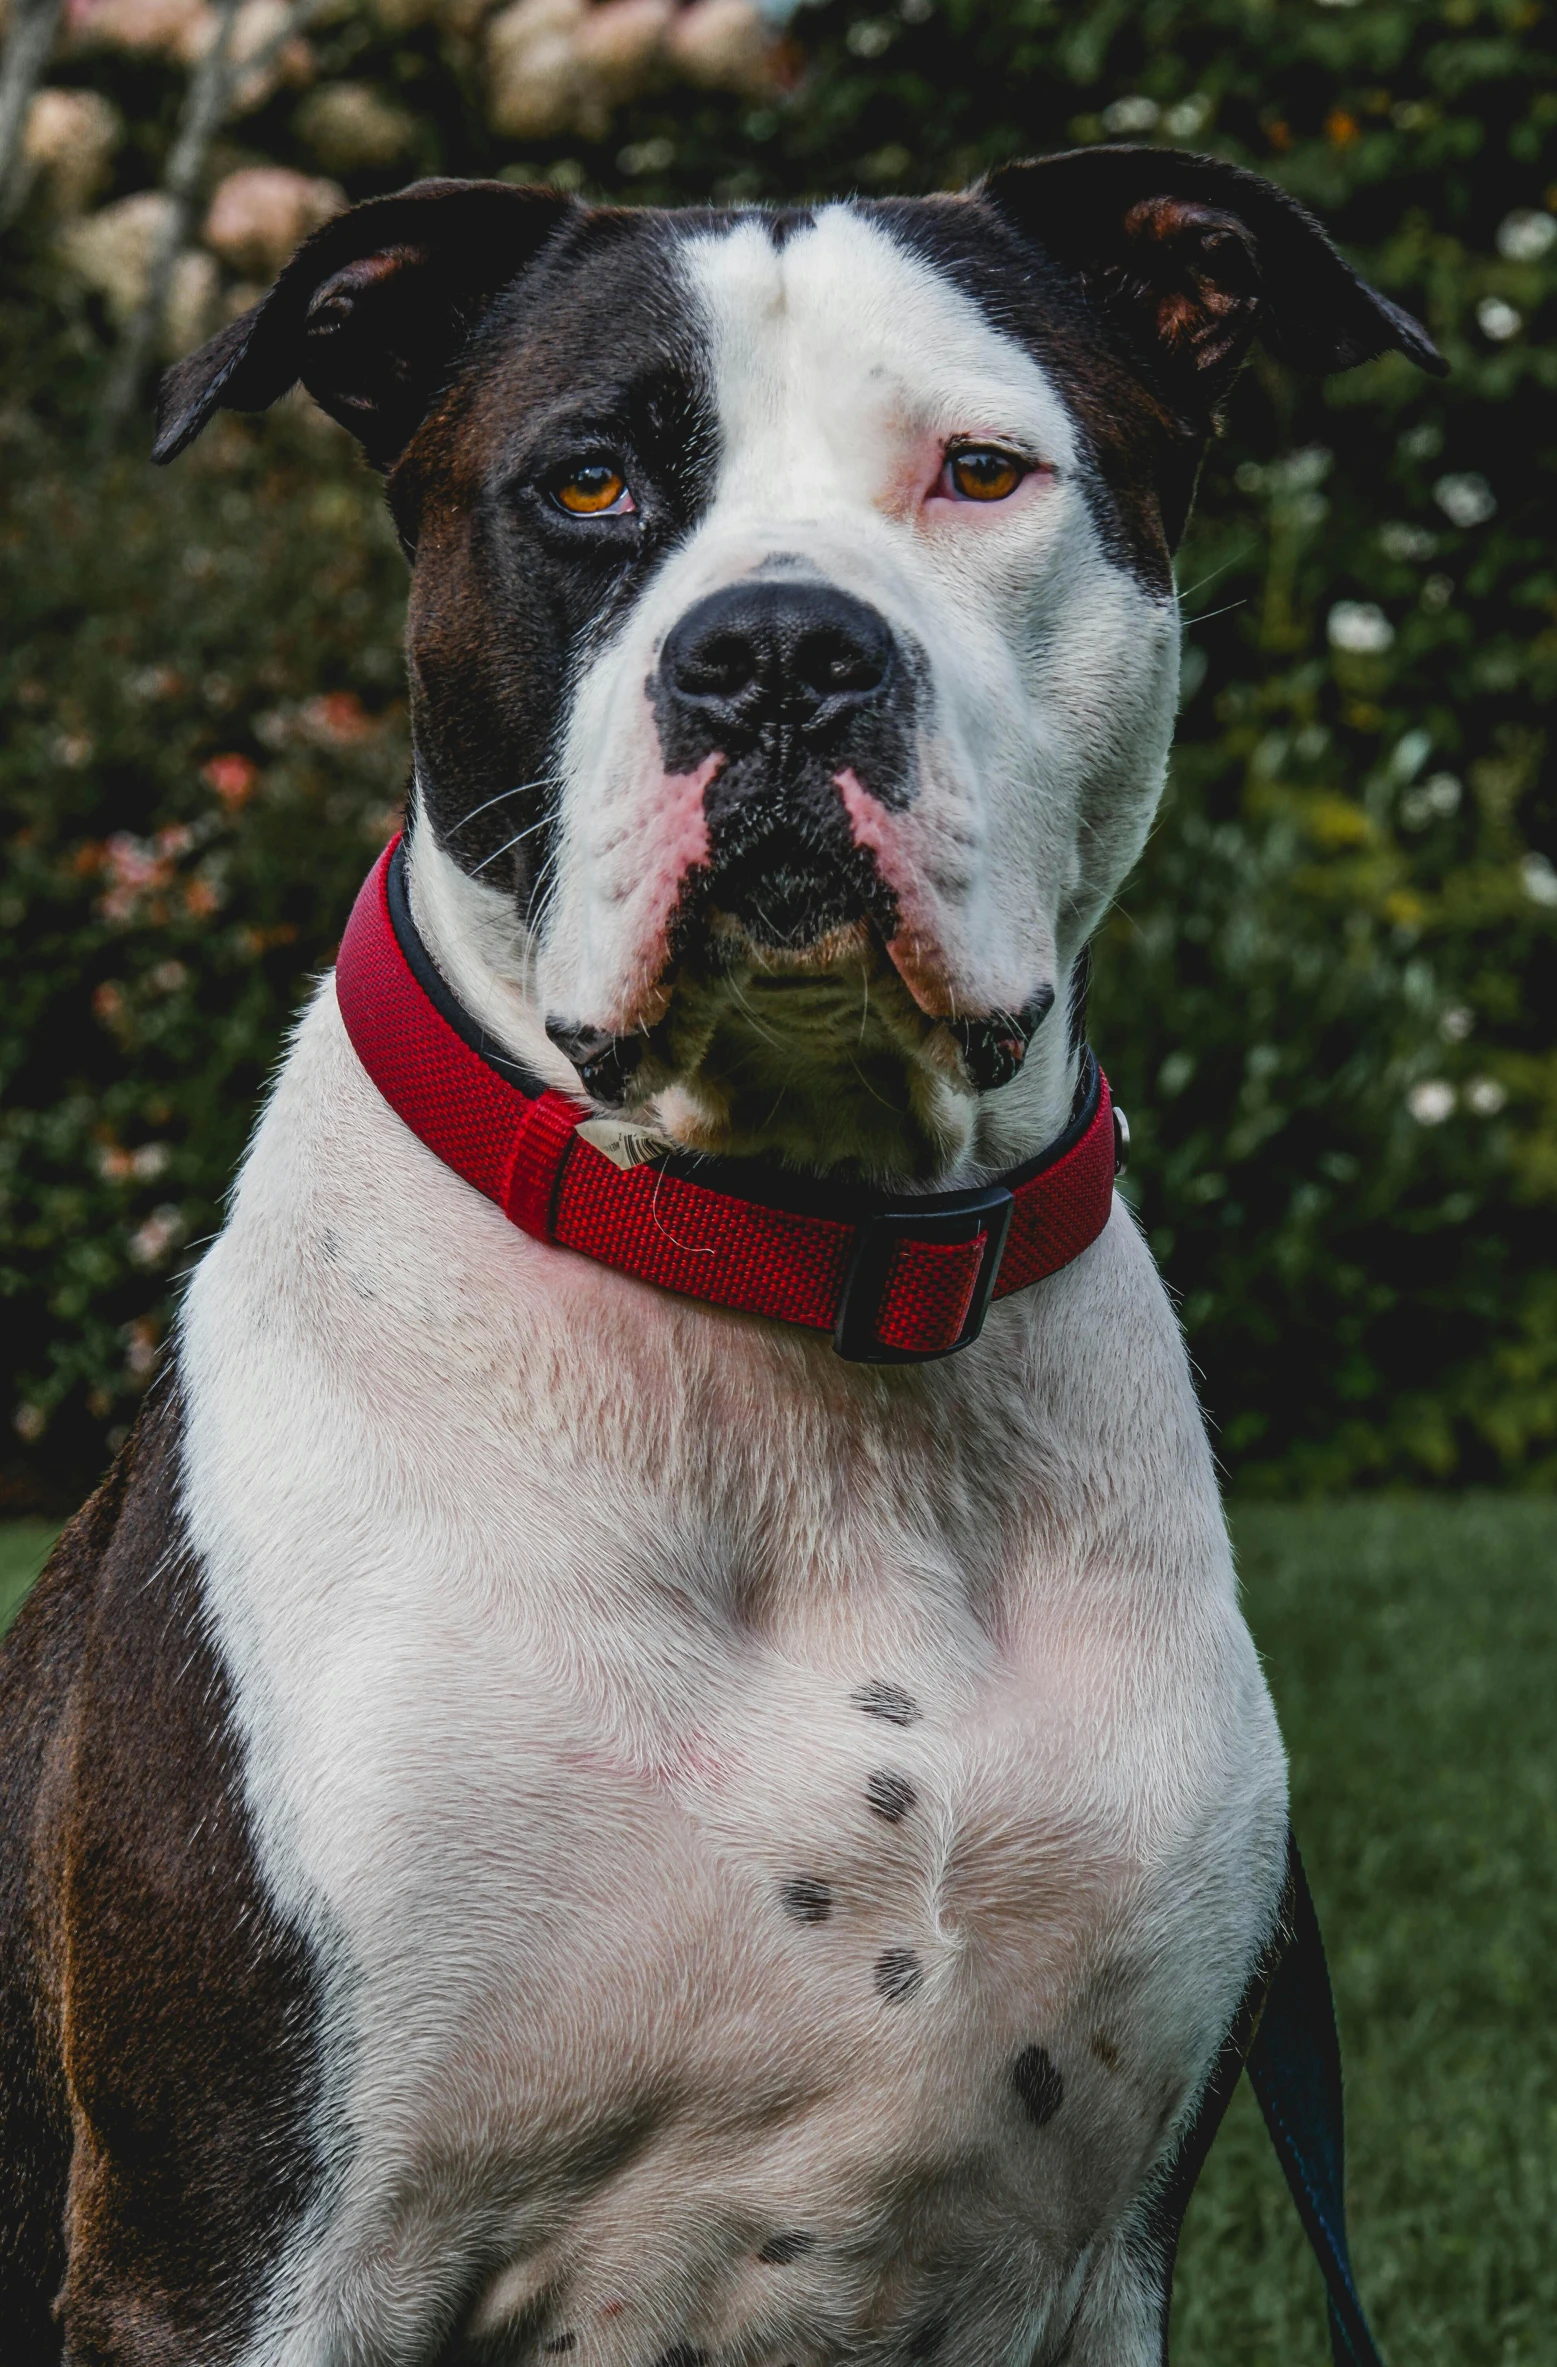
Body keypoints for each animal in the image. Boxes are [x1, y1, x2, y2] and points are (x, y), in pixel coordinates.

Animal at [0, 152, 1438, 2367]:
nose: (776, 651)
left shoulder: (1104, 2256)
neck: (804, 1281)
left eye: (979, 469)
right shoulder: (226, 2256)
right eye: (588, 482)